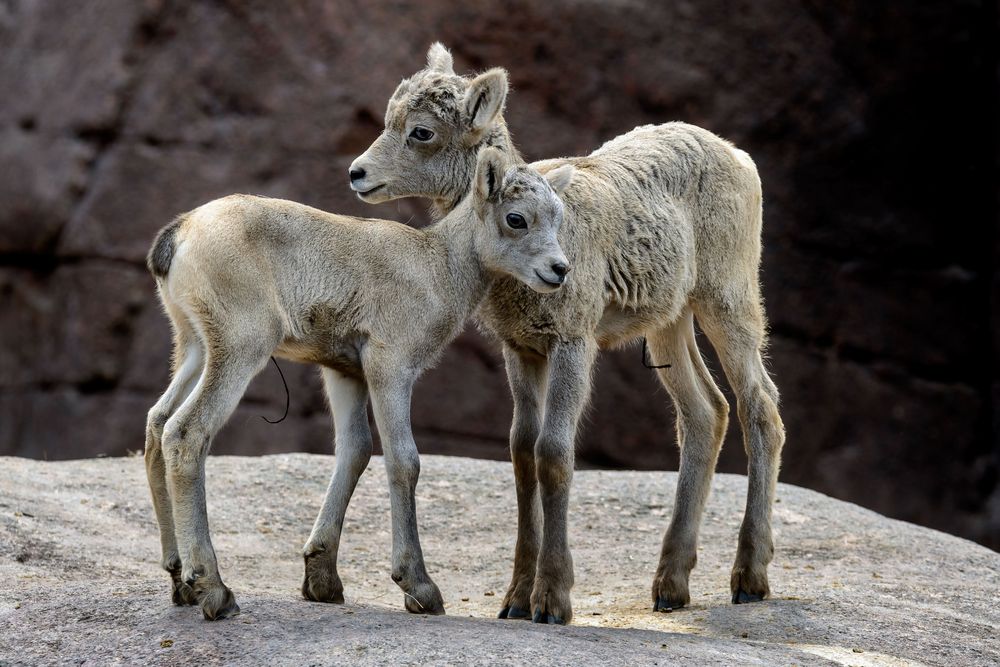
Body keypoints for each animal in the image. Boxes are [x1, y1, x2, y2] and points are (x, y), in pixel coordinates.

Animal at [144, 146, 576, 620]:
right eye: (516, 218)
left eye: (557, 217)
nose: (559, 270)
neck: (437, 269)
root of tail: (181, 234)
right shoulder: (390, 366)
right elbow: (403, 461)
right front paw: (420, 589)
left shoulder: (344, 372)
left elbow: (355, 451)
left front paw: (324, 583)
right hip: (241, 346)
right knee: (186, 432)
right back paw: (215, 591)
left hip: (194, 346)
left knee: (157, 421)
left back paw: (180, 581)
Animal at [348, 43, 784, 628]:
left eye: (421, 131)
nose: (358, 173)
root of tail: (739, 158)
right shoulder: (521, 350)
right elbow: (522, 453)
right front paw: (514, 599)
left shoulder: (573, 342)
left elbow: (554, 453)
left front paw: (552, 601)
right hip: (668, 325)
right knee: (705, 412)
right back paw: (670, 587)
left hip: (727, 300)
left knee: (760, 408)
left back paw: (749, 580)